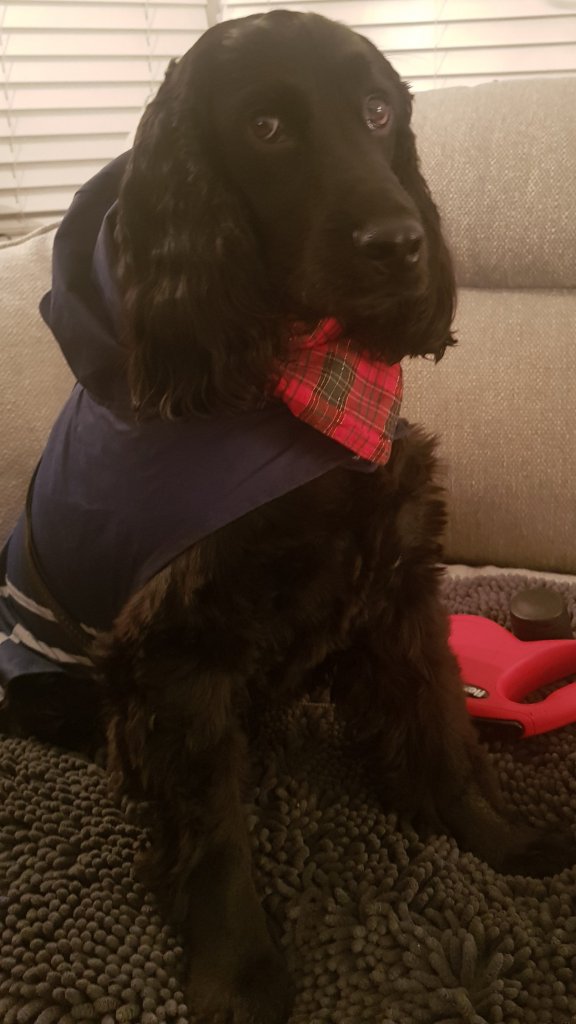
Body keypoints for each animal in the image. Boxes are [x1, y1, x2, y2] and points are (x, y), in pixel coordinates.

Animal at [0, 11, 571, 1024]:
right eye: (265, 129)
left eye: (379, 111)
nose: (399, 242)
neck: (299, 381)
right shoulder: (177, 653)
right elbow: (213, 830)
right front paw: (238, 976)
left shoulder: (396, 587)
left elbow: (439, 729)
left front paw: (497, 839)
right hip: (58, 689)